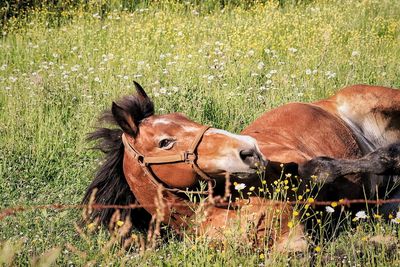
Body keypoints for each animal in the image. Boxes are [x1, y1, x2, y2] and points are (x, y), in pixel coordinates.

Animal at [83, 82, 400, 252]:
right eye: (165, 142)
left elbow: (319, 167)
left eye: (187, 118)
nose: (249, 150)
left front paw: (389, 158)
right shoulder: (292, 246)